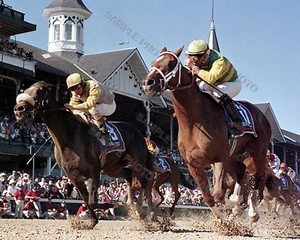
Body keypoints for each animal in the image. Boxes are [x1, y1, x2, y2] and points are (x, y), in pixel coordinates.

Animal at [13, 81, 155, 229]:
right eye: (25, 89)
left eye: (39, 90)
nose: (19, 109)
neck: (70, 135)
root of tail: (141, 135)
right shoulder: (72, 174)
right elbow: (86, 198)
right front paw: (93, 220)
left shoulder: (94, 170)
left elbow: (92, 200)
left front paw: (110, 204)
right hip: (112, 168)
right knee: (128, 176)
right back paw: (129, 203)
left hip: (137, 162)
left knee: (144, 180)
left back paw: (140, 210)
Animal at [142, 47, 272, 223]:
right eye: (152, 62)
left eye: (170, 63)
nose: (148, 83)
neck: (193, 122)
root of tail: (262, 116)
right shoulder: (194, 165)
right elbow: (209, 197)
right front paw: (228, 213)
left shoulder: (220, 158)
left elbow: (218, 194)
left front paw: (233, 209)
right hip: (233, 154)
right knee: (242, 168)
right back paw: (237, 202)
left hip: (258, 151)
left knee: (259, 176)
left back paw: (252, 211)